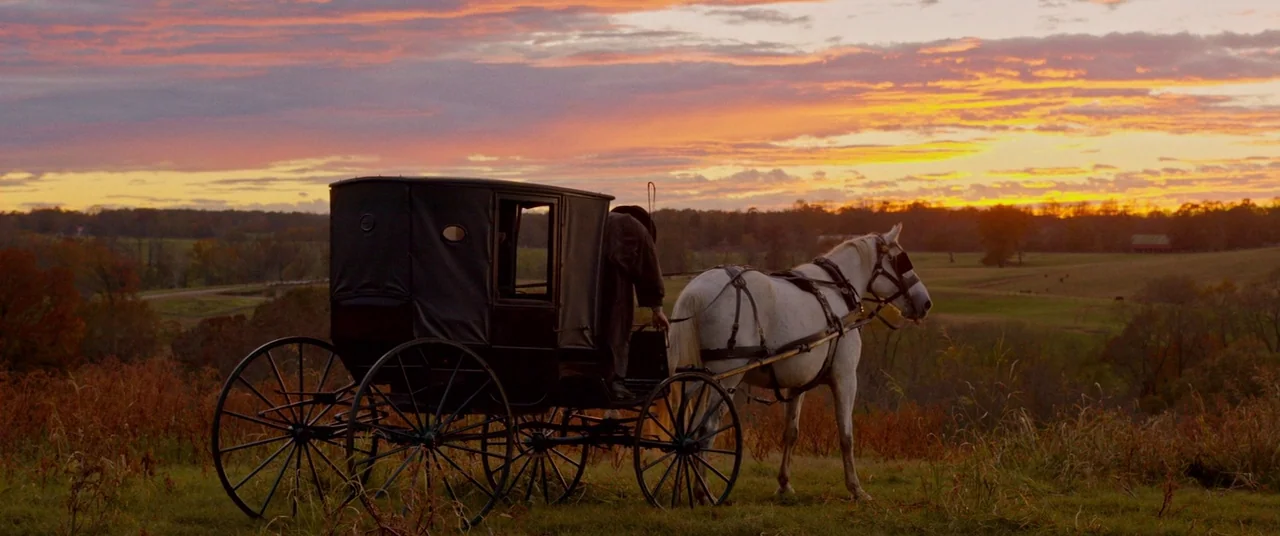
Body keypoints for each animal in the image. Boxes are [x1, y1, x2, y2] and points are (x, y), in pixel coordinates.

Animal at [665, 223, 932, 502]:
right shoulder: (846, 377)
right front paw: (856, 488)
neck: (836, 292)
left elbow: (791, 432)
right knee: (707, 428)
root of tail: (696, 290)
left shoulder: (796, 383)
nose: (925, 303)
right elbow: (846, 434)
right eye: (902, 260)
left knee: (690, 425)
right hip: (727, 376)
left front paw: (784, 484)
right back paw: (703, 491)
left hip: (698, 377)